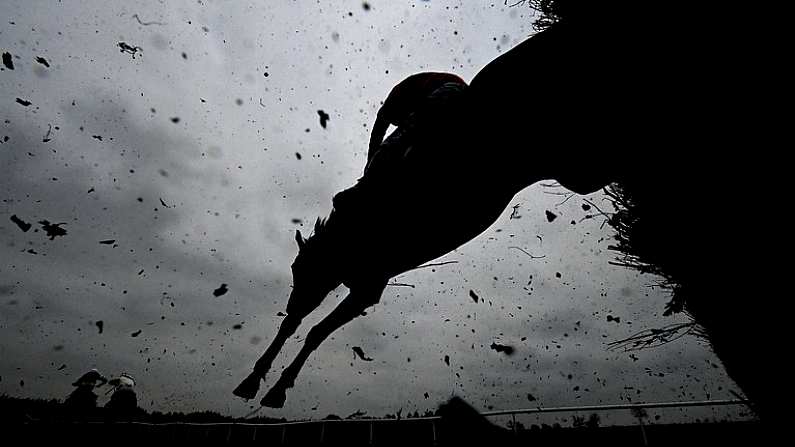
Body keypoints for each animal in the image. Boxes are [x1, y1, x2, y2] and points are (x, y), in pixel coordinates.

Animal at [235, 0, 776, 422]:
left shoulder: (368, 286)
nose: (295, 295)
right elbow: (305, 328)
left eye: (298, 271)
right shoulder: (361, 283)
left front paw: (273, 386)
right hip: (576, 156)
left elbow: (314, 331)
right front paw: (256, 381)